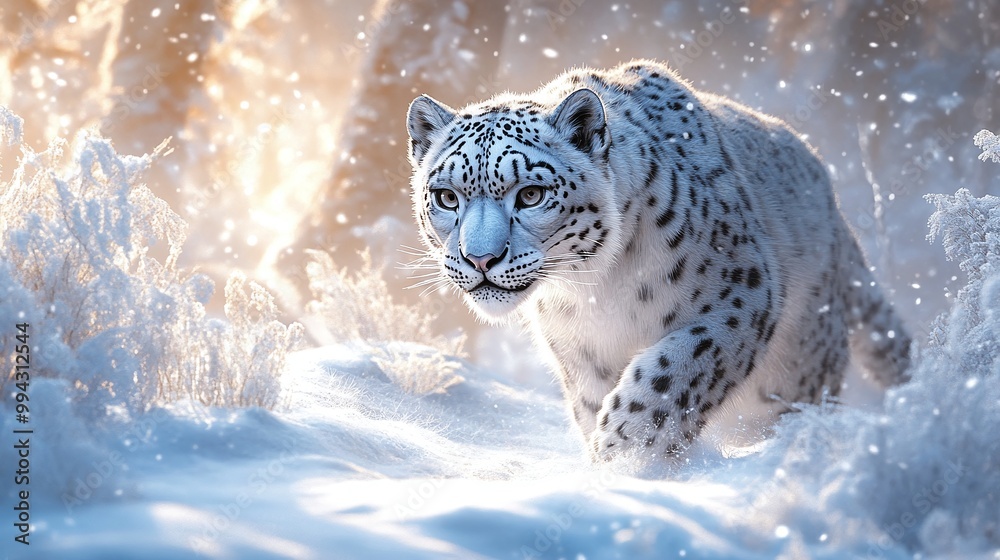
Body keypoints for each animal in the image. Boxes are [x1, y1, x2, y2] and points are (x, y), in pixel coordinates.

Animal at [405, 59, 911, 463]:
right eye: (447, 197)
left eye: (531, 194)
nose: (480, 258)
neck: (595, 290)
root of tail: (833, 207)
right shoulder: (580, 350)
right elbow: (594, 401)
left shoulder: (741, 294)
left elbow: (671, 374)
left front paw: (627, 455)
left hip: (798, 369)